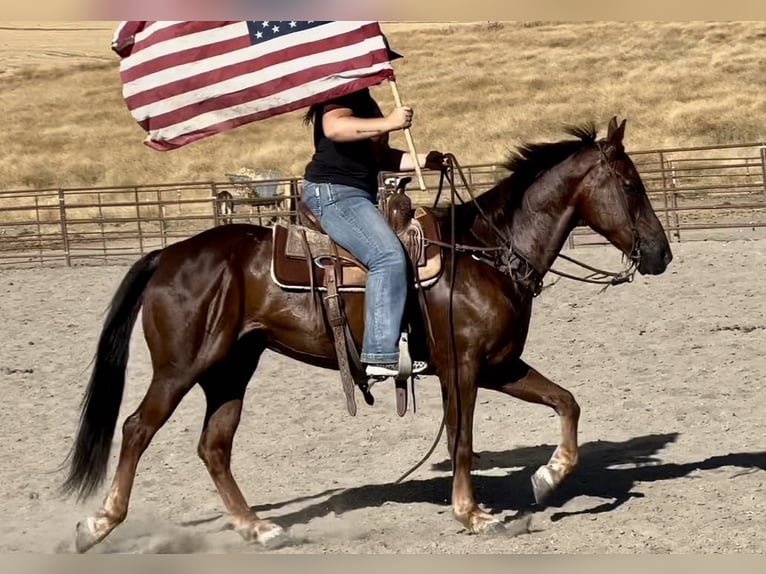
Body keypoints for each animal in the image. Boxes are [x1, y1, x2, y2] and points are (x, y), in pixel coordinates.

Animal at [60, 117, 672, 552]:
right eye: (629, 184)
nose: (661, 254)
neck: (483, 253)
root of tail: (167, 255)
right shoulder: (463, 367)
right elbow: (462, 441)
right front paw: (474, 514)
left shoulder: (498, 365)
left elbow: (566, 402)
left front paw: (548, 477)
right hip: (182, 366)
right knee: (138, 429)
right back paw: (98, 524)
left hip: (231, 368)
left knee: (214, 445)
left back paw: (259, 529)